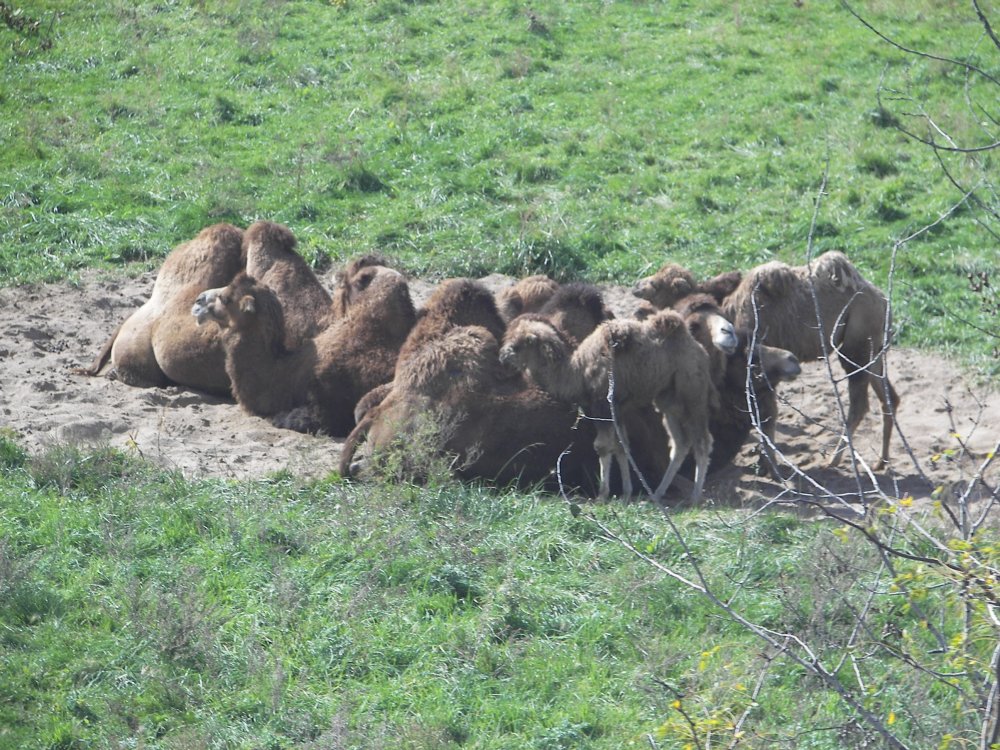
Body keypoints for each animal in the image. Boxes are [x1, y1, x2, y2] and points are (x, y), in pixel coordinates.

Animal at [496, 312, 716, 506]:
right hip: (668, 399)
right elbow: (621, 446)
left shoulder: (602, 405)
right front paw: (626, 494)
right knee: (680, 443)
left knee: (702, 441)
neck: (578, 373)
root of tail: (699, 350)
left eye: (516, 346)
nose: (502, 356)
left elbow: (602, 446)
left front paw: (602, 495)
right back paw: (656, 494)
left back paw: (695, 498)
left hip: (692, 394)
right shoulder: (615, 409)